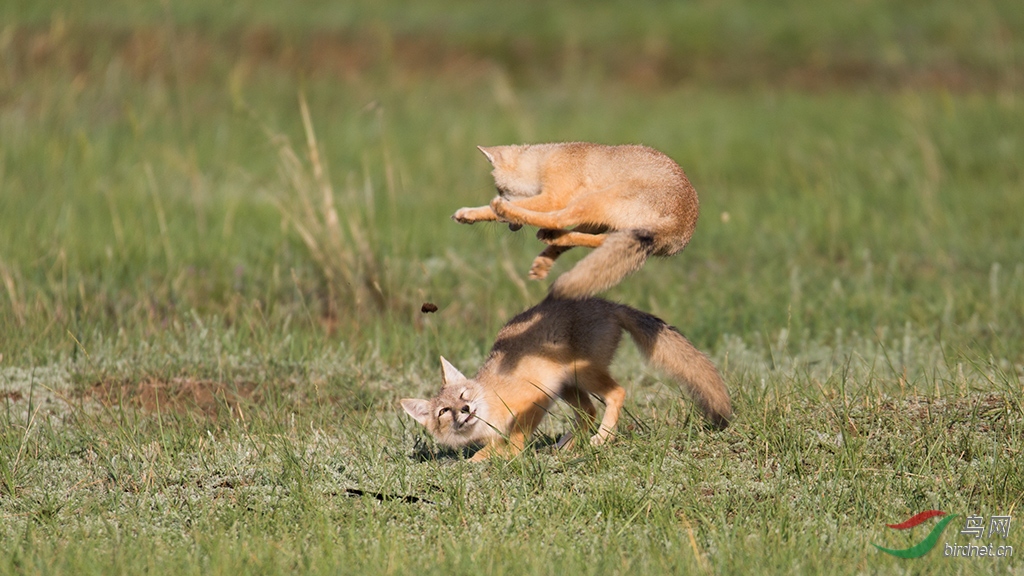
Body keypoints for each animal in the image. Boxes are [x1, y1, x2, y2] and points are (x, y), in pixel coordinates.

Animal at [397, 295, 729, 461]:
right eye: (444, 411)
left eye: (464, 396)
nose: (465, 410)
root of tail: (609, 305)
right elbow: (489, 447)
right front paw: (487, 455)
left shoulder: (535, 399)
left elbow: (513, 439)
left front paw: (502, 455)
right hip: (569, 386)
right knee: (590, 411)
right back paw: (569, 445)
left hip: (581, 376)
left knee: (617, 393)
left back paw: (601, 438)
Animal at [458, 141, 704, 297]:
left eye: (500, 190)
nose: (509, 227)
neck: (546, 158)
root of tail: (682, 222)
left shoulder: (553, 197)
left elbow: (526, 209)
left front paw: (475, 212)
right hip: (606, 220)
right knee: (595, 240)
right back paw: (551, 245)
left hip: (595, 201)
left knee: (558, 220)